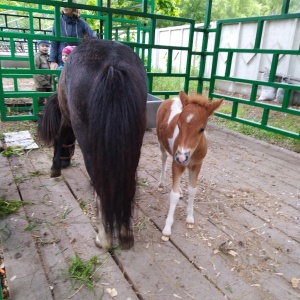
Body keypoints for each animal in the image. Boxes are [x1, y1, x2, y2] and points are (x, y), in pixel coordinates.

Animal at [38, 40, 148, 251]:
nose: (65, 162)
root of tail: (113, 64)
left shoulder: (66, 118)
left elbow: (59, 137)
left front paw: (55, 168)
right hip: (133, 145)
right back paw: (126, 235)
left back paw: (103, 239)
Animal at [157, 90, 223, 240]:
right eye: (178, 125)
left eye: (202, 129)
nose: (182, 157)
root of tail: (172, 98)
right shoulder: (177, 164)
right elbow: (174, 195)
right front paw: (167, 227)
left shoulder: (197, 165)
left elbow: (193, 190)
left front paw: (190, 217)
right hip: (162, 142)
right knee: (164, 158)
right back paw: (161, 182)